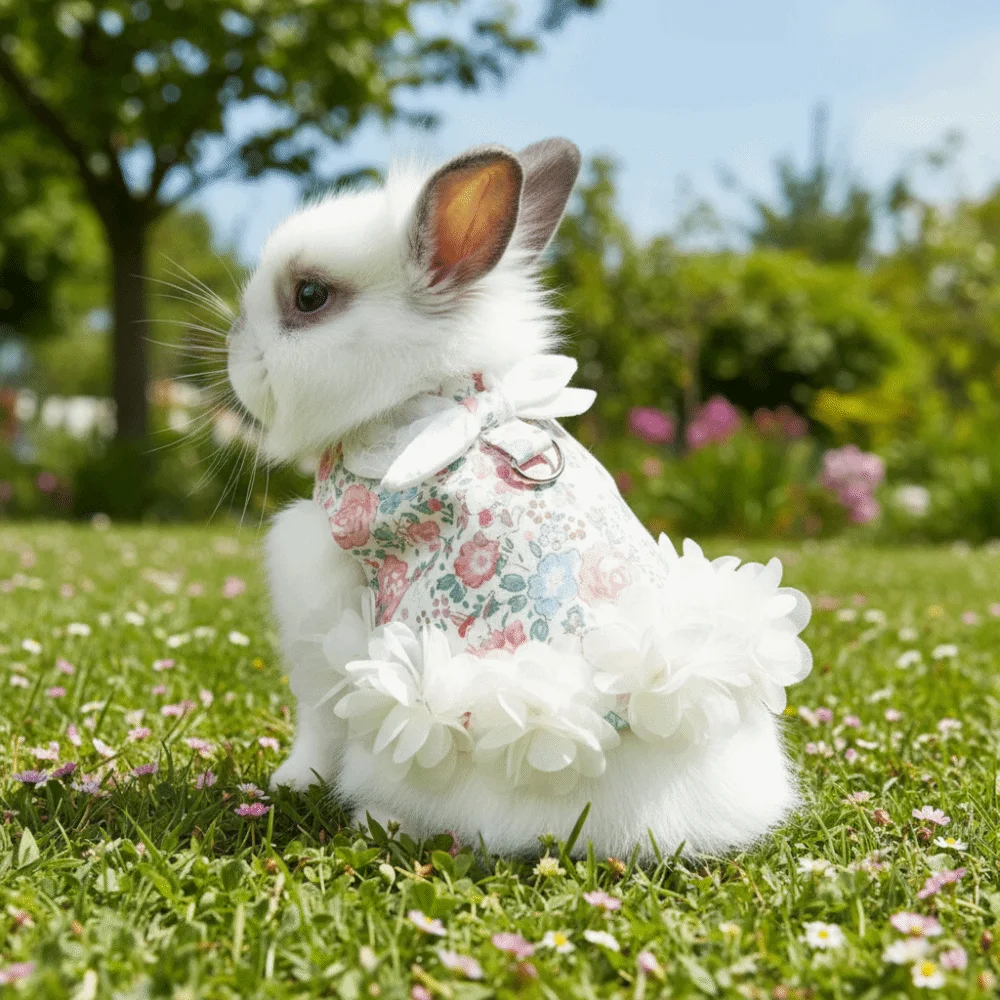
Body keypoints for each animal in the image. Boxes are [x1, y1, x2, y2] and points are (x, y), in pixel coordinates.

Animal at [226, 138, 811, 861]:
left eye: (310, 296)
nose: (234, 345)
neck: (431, 394)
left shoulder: (320, 607)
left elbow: (315, 722)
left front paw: (289, 780)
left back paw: (374, 818)